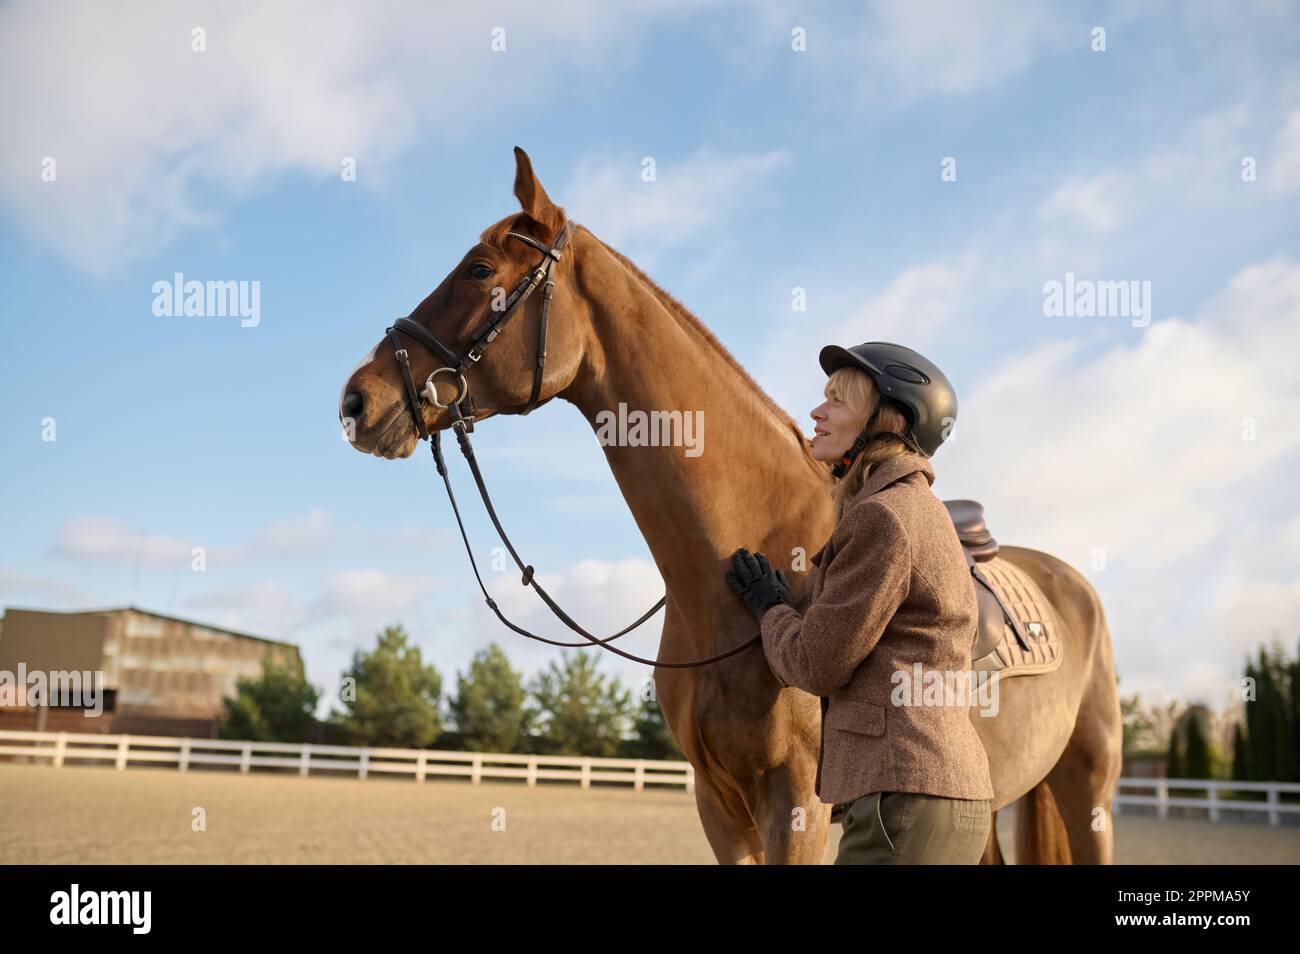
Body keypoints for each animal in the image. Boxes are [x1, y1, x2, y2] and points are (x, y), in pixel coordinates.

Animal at [340, 147, 1123, 868]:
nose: (357, 400)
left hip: (1088, 791)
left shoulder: (798, 806)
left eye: (477, 271)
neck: (743, 559)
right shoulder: (719, 805)